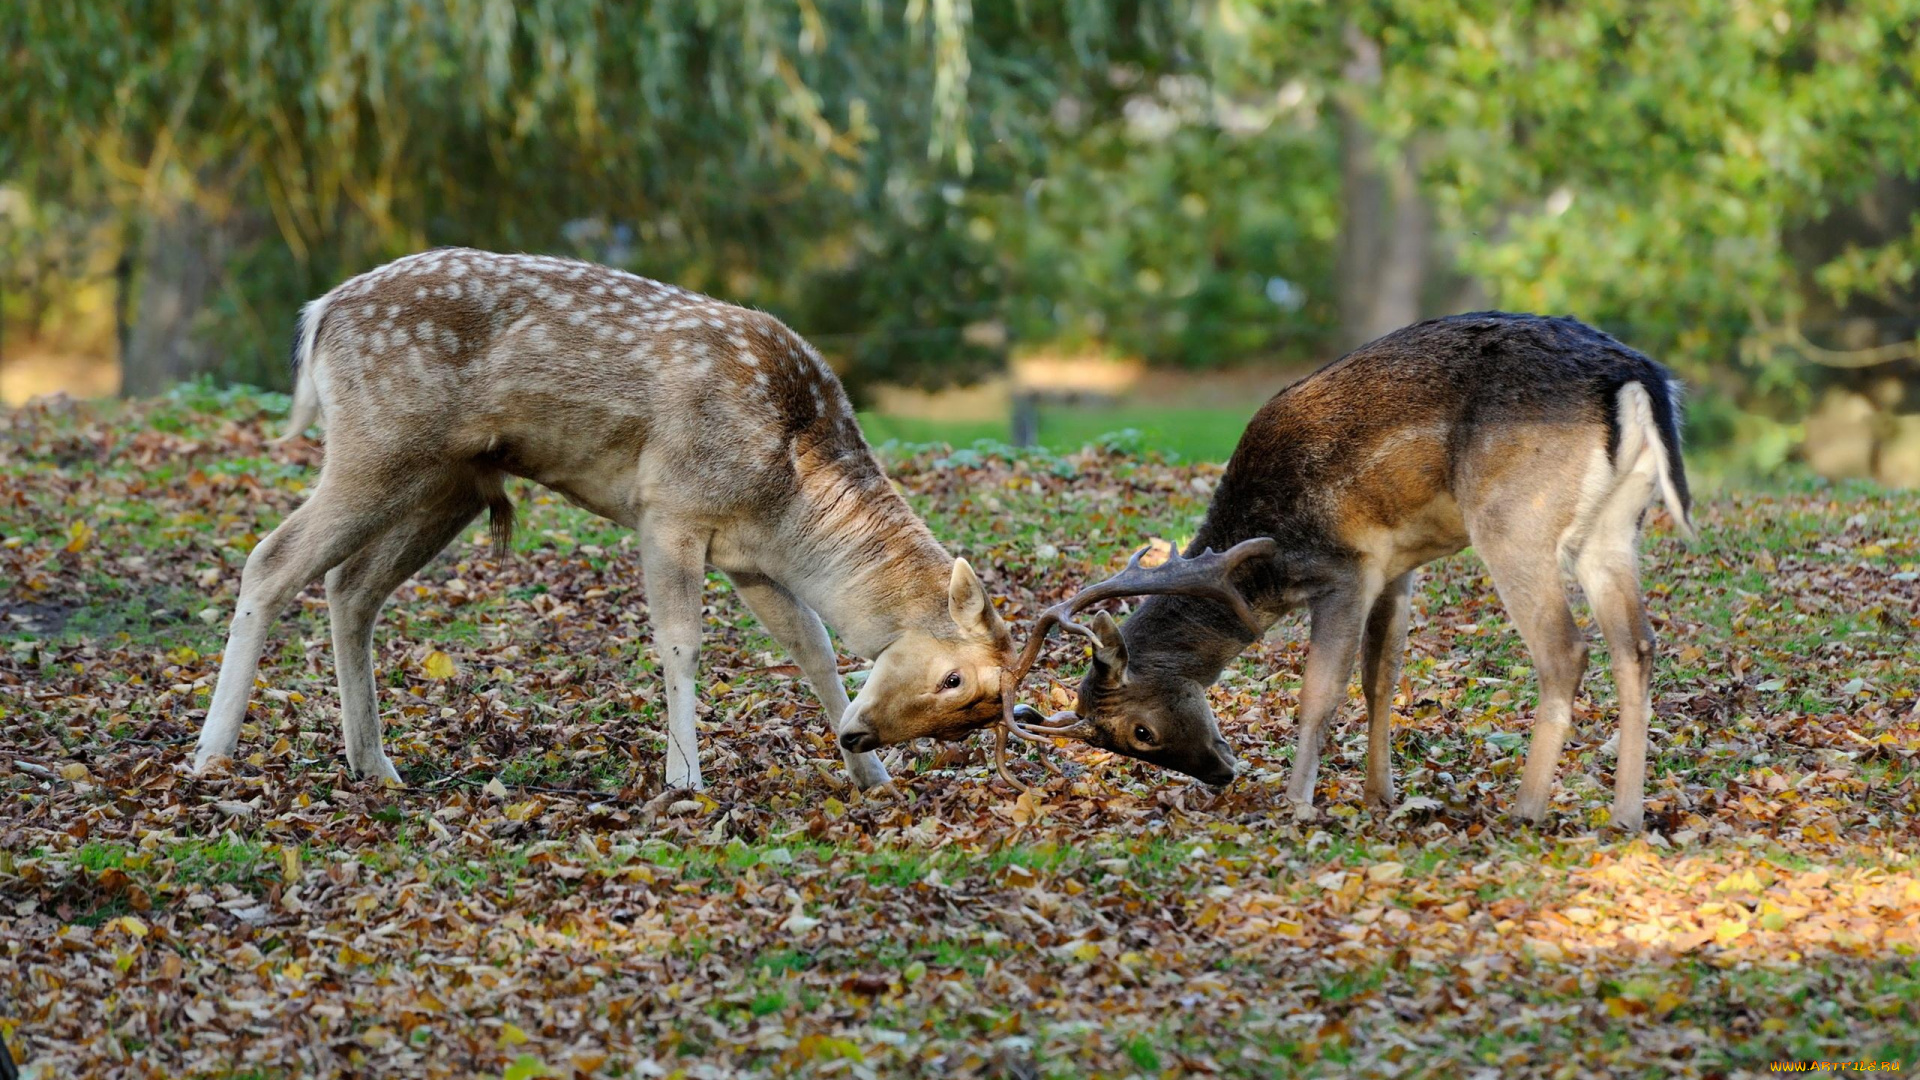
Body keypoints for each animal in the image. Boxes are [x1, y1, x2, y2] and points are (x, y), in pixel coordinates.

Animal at [191, 247, 1021, 787]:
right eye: (953, 678)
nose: (859, 733)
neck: (793, 488)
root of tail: (318, 314)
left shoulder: (752, 558)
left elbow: (812, 646)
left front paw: (872, 778)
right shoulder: (670, 508)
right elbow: (682, 642)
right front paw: (684, 780)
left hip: (446, 483)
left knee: (351, 586)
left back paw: (376, 764)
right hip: (375, 446)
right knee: (271, 559)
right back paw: (212, 756)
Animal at [1006, 311, 1697, 822]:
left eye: (1140, 733)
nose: (1222, 774)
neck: (1259, 567)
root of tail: (1639, 379)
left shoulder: (1344, 567)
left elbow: (1321, 688)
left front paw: (1296, 804)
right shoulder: (1397, 564)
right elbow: (1380, 676)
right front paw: (1378, 795)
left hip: (1514, 518)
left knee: (1566, 651)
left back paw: (1526, 809)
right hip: (1615, 527)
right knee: (1636, 644)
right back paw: (1626, 815)